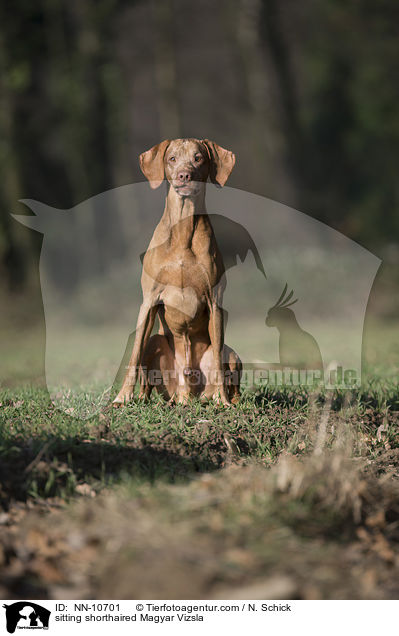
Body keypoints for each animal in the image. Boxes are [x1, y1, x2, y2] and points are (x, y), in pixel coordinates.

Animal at [114, 139, 242, 408]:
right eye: (172, 158)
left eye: (198, 158)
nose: (184, 175)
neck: (183, 230)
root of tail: (185, 394)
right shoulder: (149, 301)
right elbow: (134, 354)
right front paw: (122, 397)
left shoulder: (215, 302)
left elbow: (217, 359)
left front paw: (222, 399)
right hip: (156, 344)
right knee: (147, 376)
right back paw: (145, 399)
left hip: (233, 354)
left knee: (226, 364)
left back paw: (226, 399)